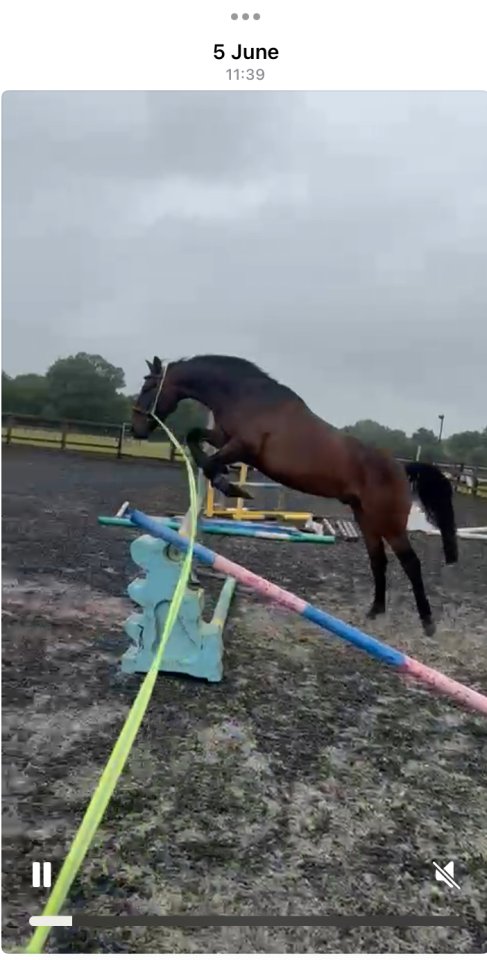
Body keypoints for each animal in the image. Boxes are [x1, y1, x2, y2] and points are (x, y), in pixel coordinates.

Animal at [132, 355, 458, 637]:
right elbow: (194, 438)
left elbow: (210, 461)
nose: (137, 429)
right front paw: (225, 480)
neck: (245, 397)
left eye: (149, 387)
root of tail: (402, 467)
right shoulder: (223, 438)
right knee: (379, 560)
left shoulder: (242, 447)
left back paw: (427, 623)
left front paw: (231, 486)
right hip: (365, 519)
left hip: (389, 523)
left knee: (411, 563)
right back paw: (375, 611)